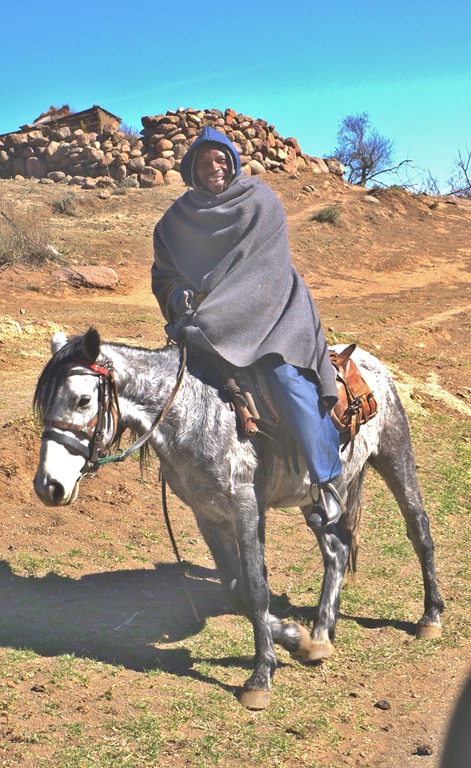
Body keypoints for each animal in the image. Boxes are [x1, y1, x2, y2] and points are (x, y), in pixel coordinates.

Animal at [33, 327, 443, 709]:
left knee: (418, 529)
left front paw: (261, 677)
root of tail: (368, 362)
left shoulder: (246, 506)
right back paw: (321, 637)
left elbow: (257, 590)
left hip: (395, 456)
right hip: (315, 499)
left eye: (83, 399)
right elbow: (237, 590)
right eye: (45, 402)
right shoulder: (207, 515)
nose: (48, 486)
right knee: (337, 550)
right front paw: (295, 638)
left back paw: (430, 617)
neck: (196, 413)